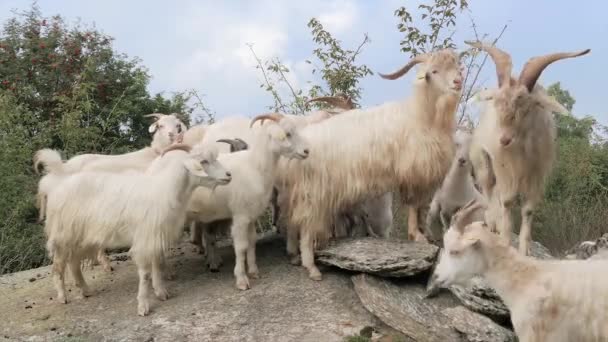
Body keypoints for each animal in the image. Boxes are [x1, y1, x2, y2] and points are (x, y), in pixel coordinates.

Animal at [44, 144, 232, 316]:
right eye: (203, 161)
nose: (229, 175)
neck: (164, 188)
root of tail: (57, 188)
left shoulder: (155, 236)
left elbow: (157, 265)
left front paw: (161, 292)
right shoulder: (145, 237)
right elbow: (145, 274)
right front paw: (143, 306)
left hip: (81, 236)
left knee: (73, 263)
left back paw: (86, 290)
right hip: (64, 234)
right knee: (58, 266)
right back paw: (62, 297)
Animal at [278, 48, 464, 280]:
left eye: (457, 66)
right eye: (434, 71)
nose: (458, 81)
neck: (422, 115)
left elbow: (421, 207)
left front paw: (424, 234)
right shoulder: (412, 171)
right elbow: (413, 206)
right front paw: (417, 236)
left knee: (294, 222)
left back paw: (295, 256)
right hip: (315, 192)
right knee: (306, 227)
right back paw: (311, 267)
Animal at [466, 40, 588, 254]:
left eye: (525, 103)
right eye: (498, 101)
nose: (504, 139)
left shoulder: (538, 174)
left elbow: (528, 209)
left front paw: (524, 251)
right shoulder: (504, 167)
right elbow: (507, 202)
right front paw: (505, 242)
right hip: (483, 163)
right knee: (489, 191)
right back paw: (493, 224)